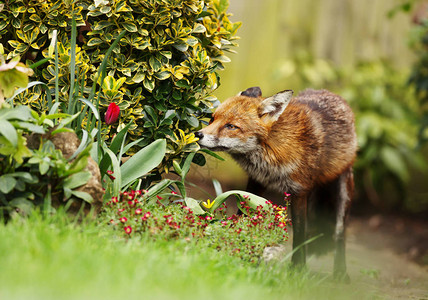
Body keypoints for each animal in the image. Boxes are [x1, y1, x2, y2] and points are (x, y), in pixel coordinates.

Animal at [196, 86, 356, 278]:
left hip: (343, 194)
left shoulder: (299, 191)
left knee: (339, 233)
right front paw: (235, 249)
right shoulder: (256, 182)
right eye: (212, 119)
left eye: (231, 126)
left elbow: (300, 234)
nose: (197, 134)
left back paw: (340, 272)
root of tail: (332, 93)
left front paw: (297, 269)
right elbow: (242, 217)